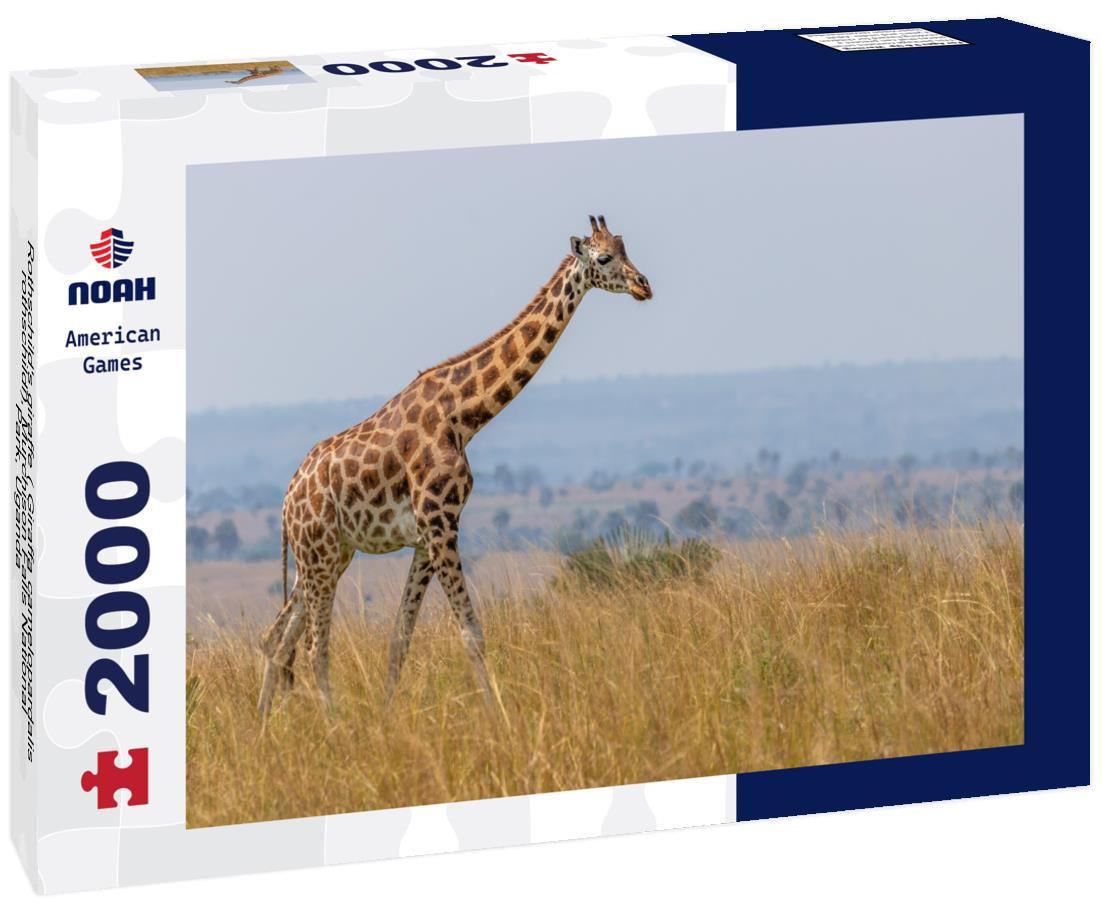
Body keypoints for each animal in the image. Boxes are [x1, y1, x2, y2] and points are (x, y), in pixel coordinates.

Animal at [257, 215, 652, 720]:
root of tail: (286, 501)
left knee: (278, 637)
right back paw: (333, 724)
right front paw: (498, 716)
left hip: (329, 554)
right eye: (603, 258)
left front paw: (388, 717)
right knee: (311, 647)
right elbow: (471, 632)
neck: (464, 415)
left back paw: (264, 727)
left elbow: (400, 638)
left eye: (626, 250)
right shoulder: (440, 522)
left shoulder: (427, 535)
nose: (644, 286)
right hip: (319, 555)